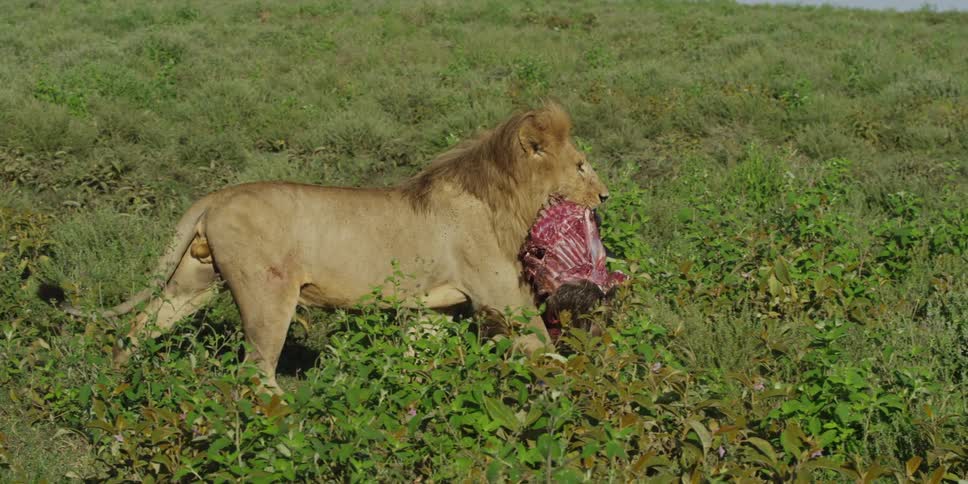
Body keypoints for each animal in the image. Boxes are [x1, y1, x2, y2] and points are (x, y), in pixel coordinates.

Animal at [67, 102, 609, 392]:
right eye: (582, 166)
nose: (605, 196)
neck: (505, 195)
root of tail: (216, 196)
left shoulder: (428, 307)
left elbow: (418, 354)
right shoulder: (504, 297)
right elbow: (545, 348)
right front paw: (579, 389)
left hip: (191, 284)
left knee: (140, 327)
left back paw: (112, 387)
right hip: (268, 297)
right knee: (255, 371)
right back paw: (287, 428)